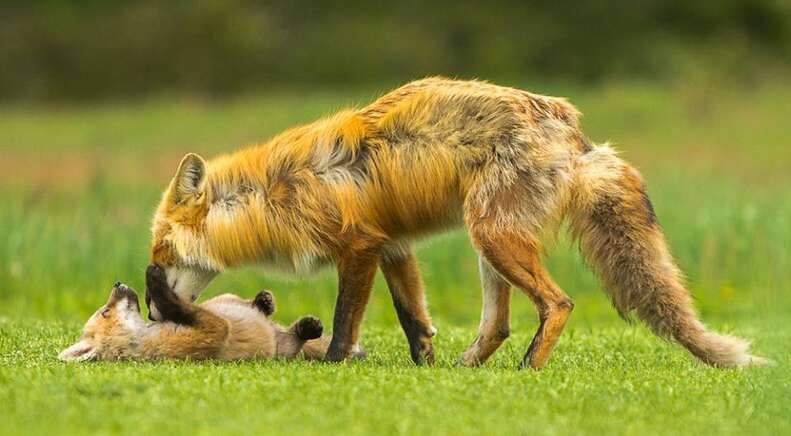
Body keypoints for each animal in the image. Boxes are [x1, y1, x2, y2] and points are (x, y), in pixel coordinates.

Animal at [145, 77, 764, 368]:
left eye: (159, 257)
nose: (150, 313)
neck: (278, 191)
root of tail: (572, 130)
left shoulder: (359, 246)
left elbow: (345, 324)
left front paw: (333, 364)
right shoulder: (393, 246)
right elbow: (413, 321)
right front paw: (425, 368)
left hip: (491, 234)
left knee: (558, 304)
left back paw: (527, 370)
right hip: (489, 247)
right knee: (500, 324)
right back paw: (469, 369)